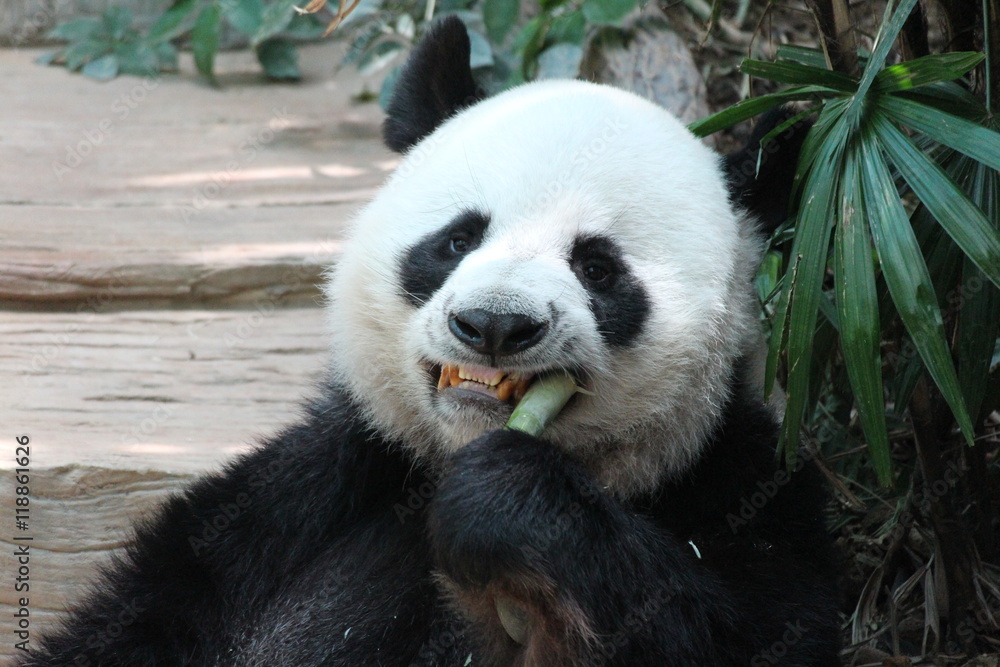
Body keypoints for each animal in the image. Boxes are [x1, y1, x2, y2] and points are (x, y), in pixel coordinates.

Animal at [22, 16, 841, 667]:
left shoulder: (746, 483)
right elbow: (150, 611)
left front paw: (508, 508)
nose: (495, 323)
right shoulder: (313, 485)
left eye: (598, 266)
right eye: (457, 239)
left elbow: (744, 635)